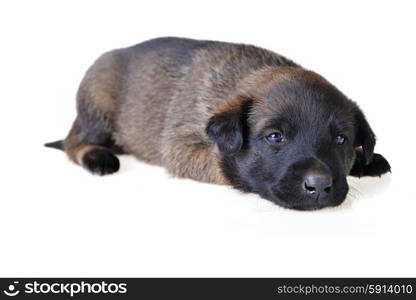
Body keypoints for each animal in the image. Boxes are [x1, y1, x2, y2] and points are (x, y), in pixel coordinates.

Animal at [45, 37, 390, 210]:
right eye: (275, 137)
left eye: (341, 140)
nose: (318, 185)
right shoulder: (181, 145)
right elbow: (226, 164)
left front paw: (364, 160)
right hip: (97, 108)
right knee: (74, 143)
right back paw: (97, 156)